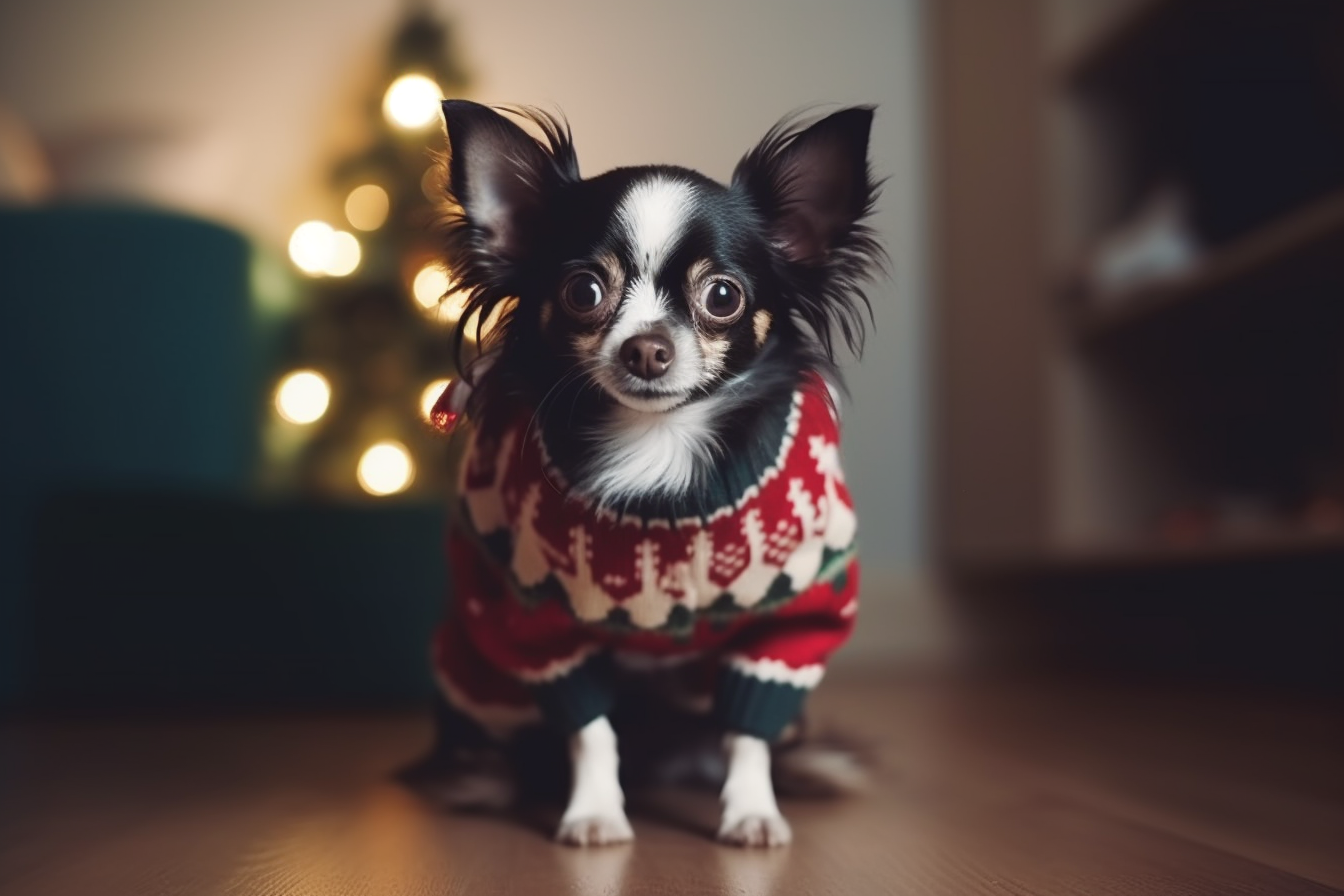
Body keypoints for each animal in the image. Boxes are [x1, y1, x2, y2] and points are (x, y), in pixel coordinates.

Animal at [419, 100, 881, 848]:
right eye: (583, 290)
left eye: (722, 296)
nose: (646, 348)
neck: (659, 442)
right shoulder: (537, 627)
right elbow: (590, 729)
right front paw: (595, 813)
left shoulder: (789, 625)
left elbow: (748, 730)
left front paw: (752, 811)